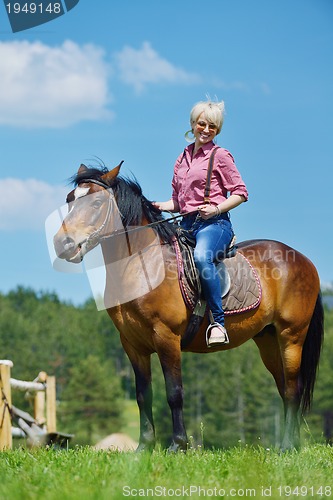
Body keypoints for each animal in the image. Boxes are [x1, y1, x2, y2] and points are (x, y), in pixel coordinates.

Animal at [53, 163, 322, 450]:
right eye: (69, 200)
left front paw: (178, 445)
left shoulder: (166, 336)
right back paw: (290, 445)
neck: (141, 263)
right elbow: (142, 395)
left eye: (96, 204)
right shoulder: (132, 344)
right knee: (284, 387)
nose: (62, 244)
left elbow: (174, 392)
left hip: (291, 335)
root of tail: (303, 260)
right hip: (268, 339)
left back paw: (287, 445)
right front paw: (144, 447)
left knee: (293, 388)